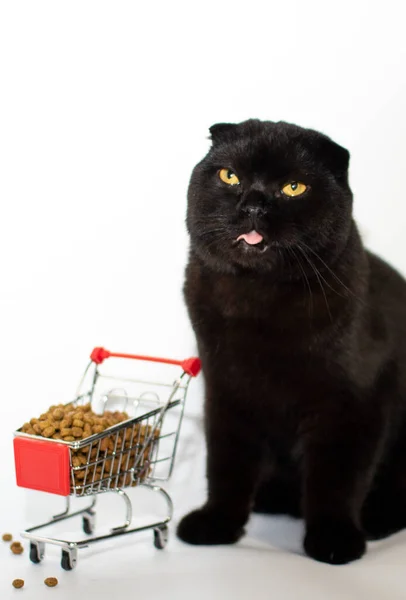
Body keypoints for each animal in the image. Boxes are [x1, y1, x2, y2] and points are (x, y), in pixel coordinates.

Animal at [178, 119, 406, 564]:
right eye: (230, 176)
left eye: (293, 187)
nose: (253, 205)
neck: (256, 301)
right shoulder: (227, 392)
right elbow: (226, 465)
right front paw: (216, 524)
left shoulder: (355, 404)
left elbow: (338, 479)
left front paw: (334, 541)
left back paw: (375, 522)